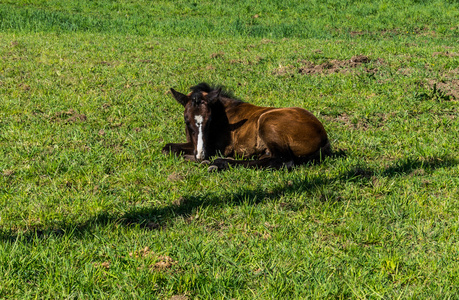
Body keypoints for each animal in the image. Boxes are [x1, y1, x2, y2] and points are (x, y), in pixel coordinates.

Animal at [162, 82, 330, 171]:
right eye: (186, 120)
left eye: (210, 120)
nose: (200, 155)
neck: (221, 112)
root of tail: (323, 135)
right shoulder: (195, 144)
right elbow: (168, 147)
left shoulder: (217, 147)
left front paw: (204, 160)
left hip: (266, 120)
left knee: (283, 161)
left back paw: (220, 163)